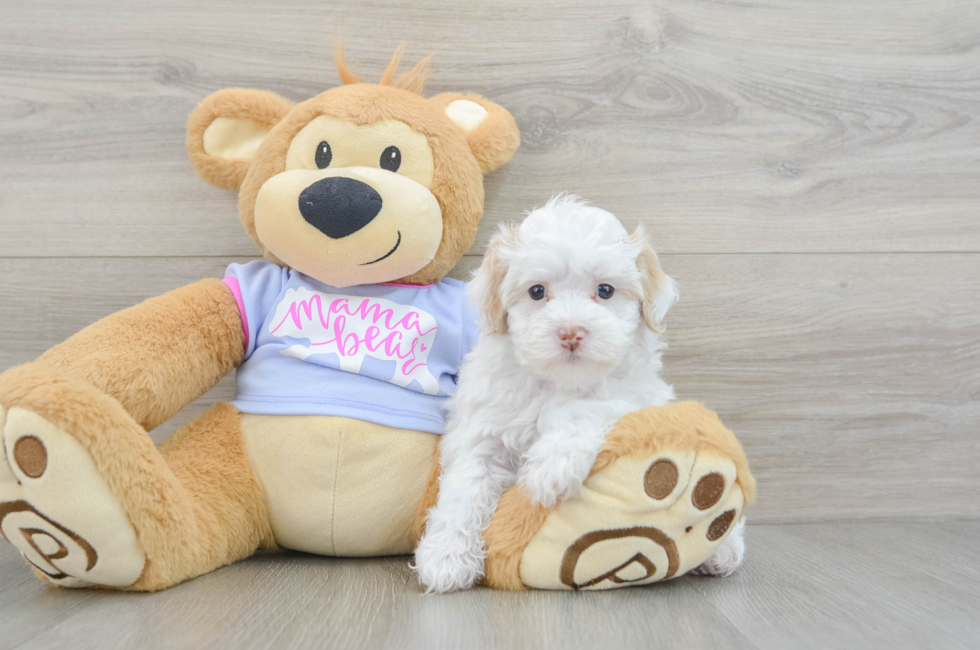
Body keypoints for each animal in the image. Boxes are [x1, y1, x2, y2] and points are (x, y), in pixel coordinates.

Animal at [412, 196, 744, 592]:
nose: (571, 332)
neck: (557, 383)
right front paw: (446, 557)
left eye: (605, 290)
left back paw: (724, 549)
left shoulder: (633, 395)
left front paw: (551, 466)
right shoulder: (483, 431)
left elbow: (586, 409)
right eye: (537, 291)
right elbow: (465, 489)